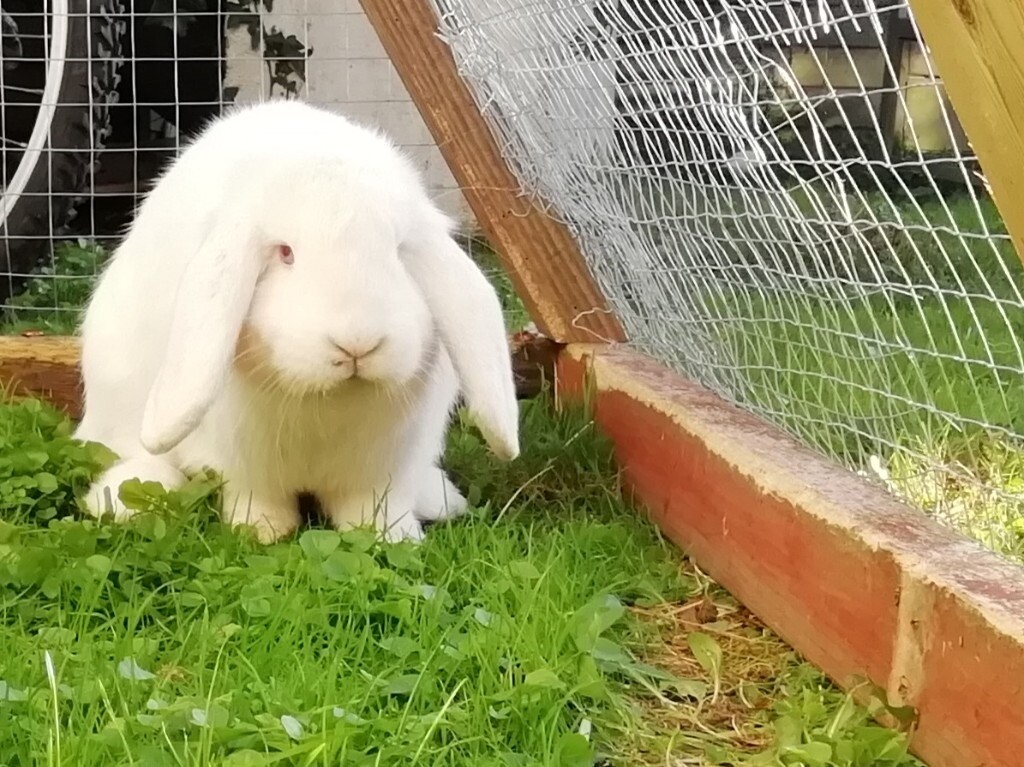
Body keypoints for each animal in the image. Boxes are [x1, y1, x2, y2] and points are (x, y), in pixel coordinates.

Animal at [73, 99, 520, 544]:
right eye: (285, 252)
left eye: (398, 251)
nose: (358, 343)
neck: (328, 400)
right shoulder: (246, 467)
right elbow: (255, 497)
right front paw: (261, 530)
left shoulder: (380, 472)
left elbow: (375, 507)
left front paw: (390, 537)